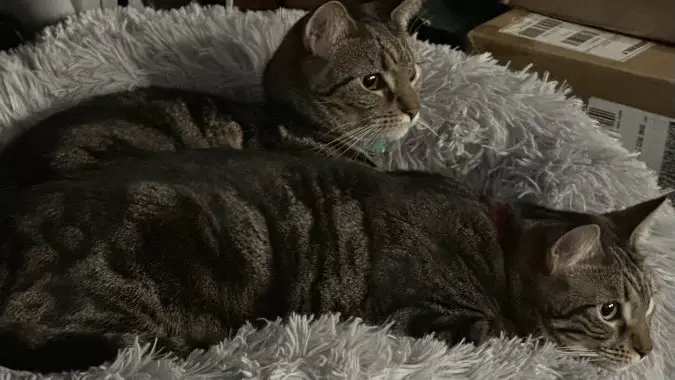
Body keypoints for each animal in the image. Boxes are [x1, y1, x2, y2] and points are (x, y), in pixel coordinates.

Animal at [0, 149, 664, 374]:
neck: (494, 244)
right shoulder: (432, 316)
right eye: (609, 311)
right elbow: (510, 333)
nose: (647, 350)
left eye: (652, 306)